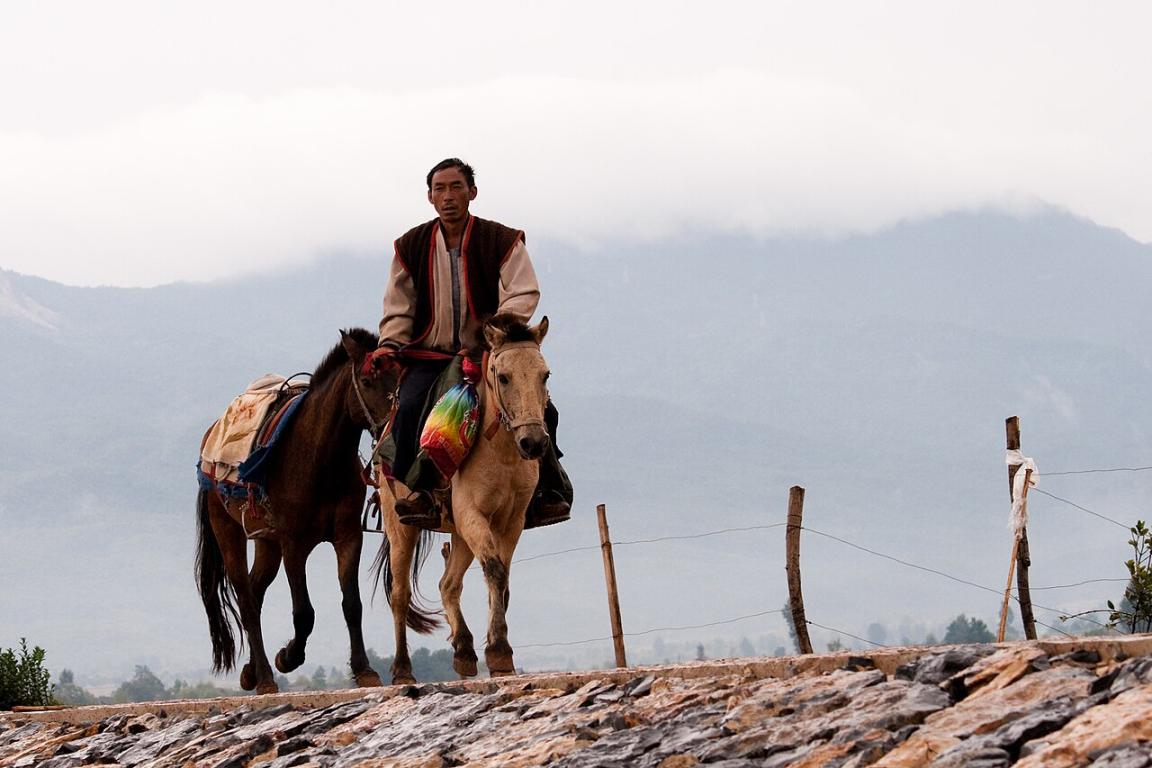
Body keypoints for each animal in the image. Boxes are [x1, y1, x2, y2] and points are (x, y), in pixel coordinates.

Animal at [195, 328, 399, 694]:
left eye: (399, 375)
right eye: (367, 380)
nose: (392, 428)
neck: (320, 458)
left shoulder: (347, 537)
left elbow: (352, 604)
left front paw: (364, 671)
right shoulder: (294, 544)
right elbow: (304, 612)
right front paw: (287, 657)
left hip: (266, 542)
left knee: (255, 591)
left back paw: (250, 672)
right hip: (229, 532)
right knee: (246, 599)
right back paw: (264, 676)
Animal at [374, 314, 553, 683]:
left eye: (545, 375)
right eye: (503, 376)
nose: (533, 443)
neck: (502, 453)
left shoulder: (511, 520)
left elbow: (502, 577)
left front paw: (495, 650)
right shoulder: (472, 512)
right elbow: (495, 570)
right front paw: (499, 650)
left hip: (457, 532)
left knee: (448, 584)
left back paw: (464, 651)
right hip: (401, 526)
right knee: (399, 594)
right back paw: (402, 670)